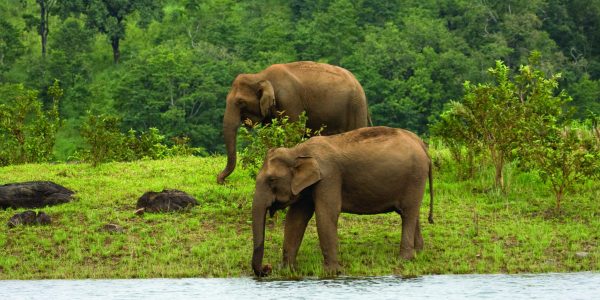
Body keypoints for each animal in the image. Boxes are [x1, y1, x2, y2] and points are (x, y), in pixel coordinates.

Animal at [216, 60, 368, 183]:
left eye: (240, 102)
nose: (222, 180)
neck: (260, 76)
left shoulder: (289, 100)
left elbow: (294, 131)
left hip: (355, 107)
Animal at [251, 125, 434, 276]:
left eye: (271, 180)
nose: (267, 268)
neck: (297, 151)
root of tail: (421, 144)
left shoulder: (329, 177)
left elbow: (326, 214)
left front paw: (332, 272)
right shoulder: (308, 186)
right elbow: (295, 219)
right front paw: (287, 270)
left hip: (415, 176)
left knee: (408, 213)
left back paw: (404, 258)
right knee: (411, 213)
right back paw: (419, 252)